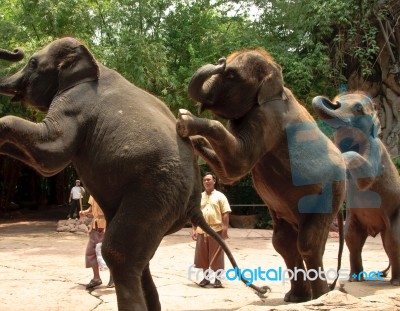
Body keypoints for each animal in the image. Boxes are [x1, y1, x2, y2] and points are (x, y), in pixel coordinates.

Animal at [0, 37, 268, 310]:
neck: (95, 62)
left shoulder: (74, 103)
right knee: (140, 259)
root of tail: (194, 206)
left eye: (33, 63)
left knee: (118, 253)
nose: (17, 52)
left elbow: (52, 154)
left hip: (156, 194)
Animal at [176, 48, 346, 302]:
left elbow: (238, 164)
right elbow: (228, 174)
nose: (220, 61)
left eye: (231, 75)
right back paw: (296, 298)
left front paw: (185, 121)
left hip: (330, 193)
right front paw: (189, 135)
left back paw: (319, 297)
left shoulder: (269, 117)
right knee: (283, 242)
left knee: (308, 243)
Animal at [312, 92, 400, 286]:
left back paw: (395, 282)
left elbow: (367, 178)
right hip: (355, 220)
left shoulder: (376, 150)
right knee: (353, 239)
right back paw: (355, 279)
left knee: (393, 241)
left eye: (358, 108)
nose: (333, 102)